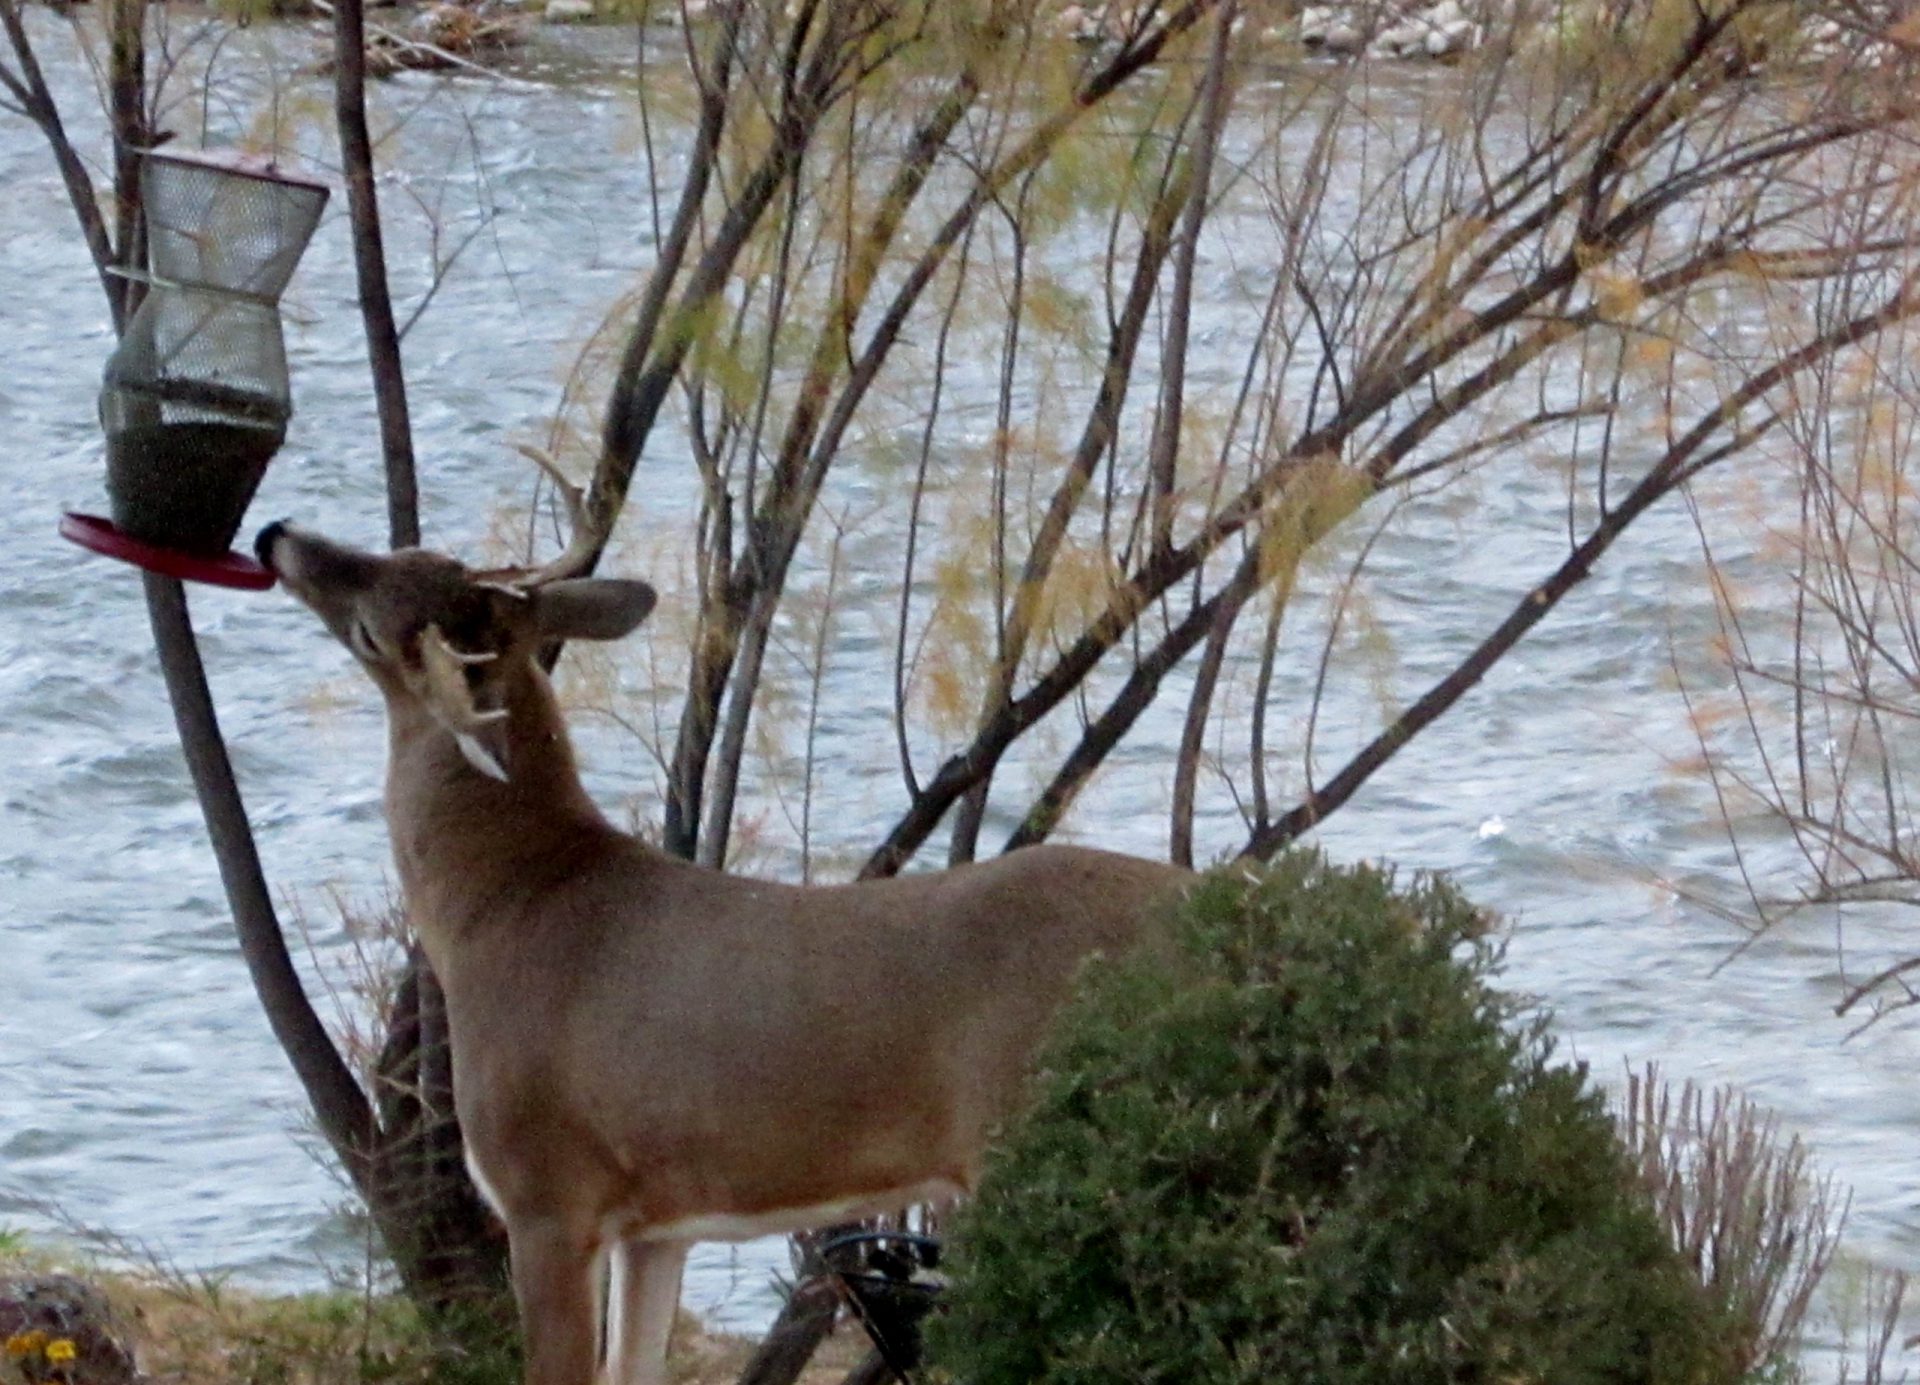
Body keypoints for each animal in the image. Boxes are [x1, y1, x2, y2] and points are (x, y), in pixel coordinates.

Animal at [251, 459, 1182, 1383]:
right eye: (407, 551)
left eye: (374, 619)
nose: (276, 534)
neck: (512, 900)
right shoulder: (657, 1223)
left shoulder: (545, 1187)